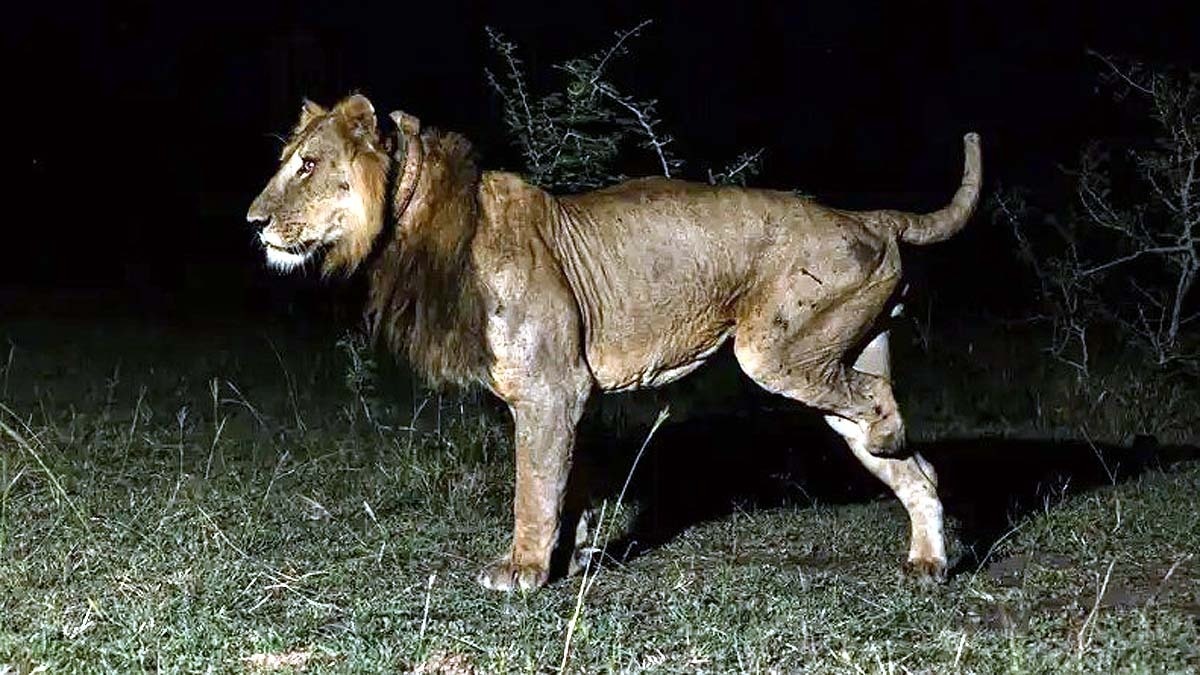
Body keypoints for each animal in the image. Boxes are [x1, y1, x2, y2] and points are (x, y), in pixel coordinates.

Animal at [247, 94, 982, 591]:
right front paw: (566, 559)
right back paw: (928, 561)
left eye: (308, 165)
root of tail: (866, 215)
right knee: (919, 470)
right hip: (833, 356)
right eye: (284, 161)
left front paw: (522, 569)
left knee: (880, 401)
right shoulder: (566, 395)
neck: (417, 222)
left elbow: (534, 485)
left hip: (778, 351)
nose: (252, 221)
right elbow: (566, 482)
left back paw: (892, 439)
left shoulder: (552, 388)